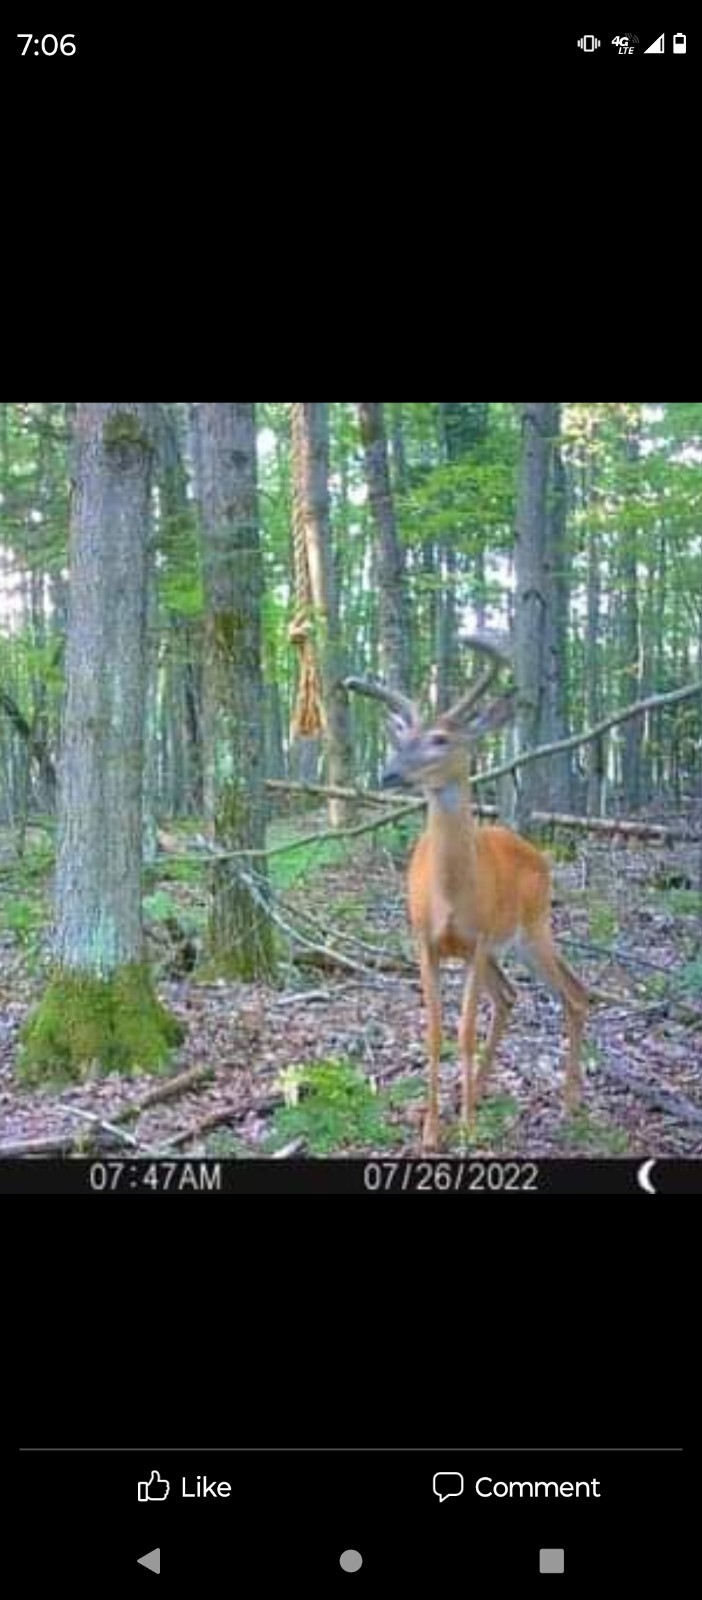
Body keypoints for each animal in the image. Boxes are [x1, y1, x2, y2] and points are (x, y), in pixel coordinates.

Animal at [344, 638, 588, 1152]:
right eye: (402, 738)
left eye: (441, 738)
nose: (388, 773)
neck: (449, 896)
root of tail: (535, 853)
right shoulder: (425, 941)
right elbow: (436, 1032)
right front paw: (433, 1130)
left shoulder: (474, 943)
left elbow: (465, 1030)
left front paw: (468, 1130)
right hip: (503, 947)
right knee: (512, 996)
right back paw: (475, 1093)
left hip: (532, 926)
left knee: (574, 994)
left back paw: (568, 1102)